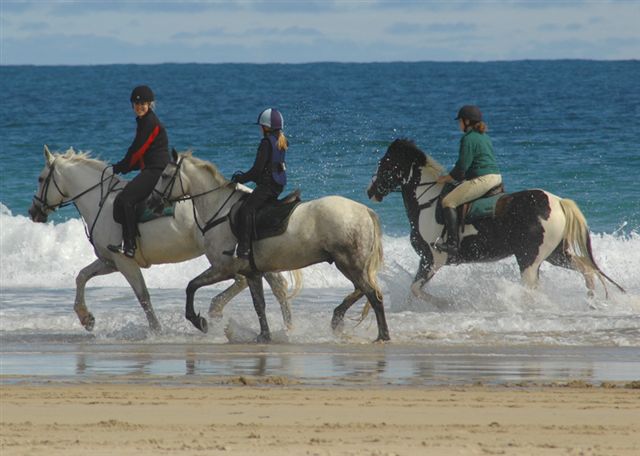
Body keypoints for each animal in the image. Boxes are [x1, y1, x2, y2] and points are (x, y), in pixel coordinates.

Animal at [26, 146, 294, 332]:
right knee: (268, 284)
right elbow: (81, 276)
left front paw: (156, 331)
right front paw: (86, 318)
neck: (99, 201)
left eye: (40, 179)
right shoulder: (110, 261)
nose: (33, 212)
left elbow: (143, 295)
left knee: (250, 281)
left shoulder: (124, 261)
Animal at [148, 151, 390, 342]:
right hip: (350, 264)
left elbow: (191, 286)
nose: (152, 202)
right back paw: (338, 318)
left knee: (372, 294)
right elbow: (259, 305)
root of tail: (364, 210)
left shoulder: (223, 268)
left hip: (349, 263)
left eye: (165, 176)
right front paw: (264, 336)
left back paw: (382, 335)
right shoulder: (252, 273)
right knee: (362, 290)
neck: (219, 211)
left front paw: (199, 321)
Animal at [368, 139, 624, 302]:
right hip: (555, 254)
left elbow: (415, 289)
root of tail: (558, 202)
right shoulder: (427, 261)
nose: (371, 191)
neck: (427, 203)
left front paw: (445, 304)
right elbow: (412, 292)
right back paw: (590, 301)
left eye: (385, 164)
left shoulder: (433, 259)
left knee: (533, 289)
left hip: (529, 259)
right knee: (586, 270)